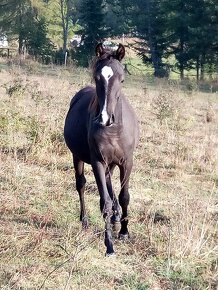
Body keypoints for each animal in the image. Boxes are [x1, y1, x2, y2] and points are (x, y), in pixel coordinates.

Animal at [63, 43, 139, 256]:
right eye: (97, 77)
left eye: (122, 79)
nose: (105, 118)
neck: (114, 130)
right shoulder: (97, 161)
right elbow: (104, 201)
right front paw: (109, 245)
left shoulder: (126, 162)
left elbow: (124, 196)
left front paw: (124, 231)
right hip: (78, 157)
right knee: (81, 184)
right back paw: (85, 220)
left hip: (111, 163)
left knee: (109, 182)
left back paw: (116, 217)